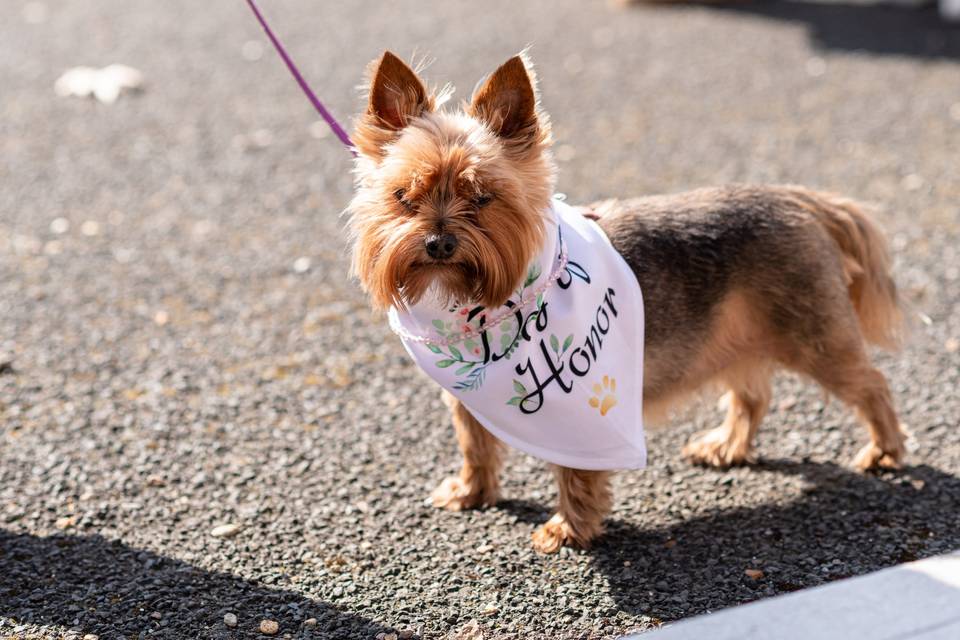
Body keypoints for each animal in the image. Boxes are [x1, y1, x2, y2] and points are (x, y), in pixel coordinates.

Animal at [344, 50, 908, 552]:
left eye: (482, 197)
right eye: (403, 196)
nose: (438, 244)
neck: (481, 307)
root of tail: (806, 201)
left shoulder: (581, 412)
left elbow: (576, 470)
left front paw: (567, 530)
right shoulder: (467, 399)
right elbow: (475, 443)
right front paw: (471, 492)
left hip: (814, 334)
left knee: (870, 384)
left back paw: (884, 451)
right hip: (731, 335)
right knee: (752, 395)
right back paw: (726, 446)